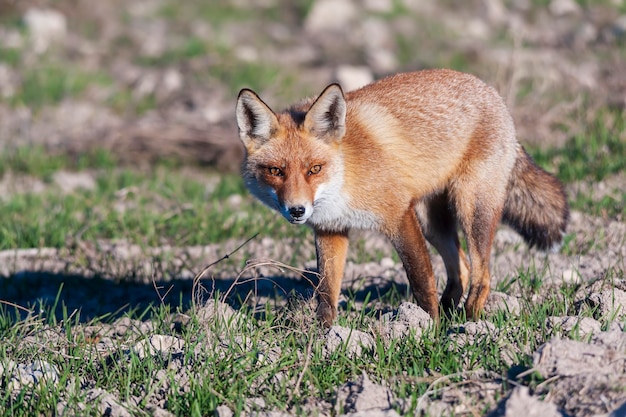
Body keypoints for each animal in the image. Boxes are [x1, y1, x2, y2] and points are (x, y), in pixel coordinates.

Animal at [234, 69, 564, 324]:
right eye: (276, 171)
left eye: (314, 169)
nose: (297, 211)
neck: (345, 175)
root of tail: (494, 94)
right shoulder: (330, 229)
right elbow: (326, 291)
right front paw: (322, 337)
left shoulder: (398, 215)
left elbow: (421, 280)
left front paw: (428, 328)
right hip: (432, 223)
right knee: (462, 269)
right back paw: (450, 314)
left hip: (470, 209)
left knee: (482, 275)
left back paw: (467, 325)